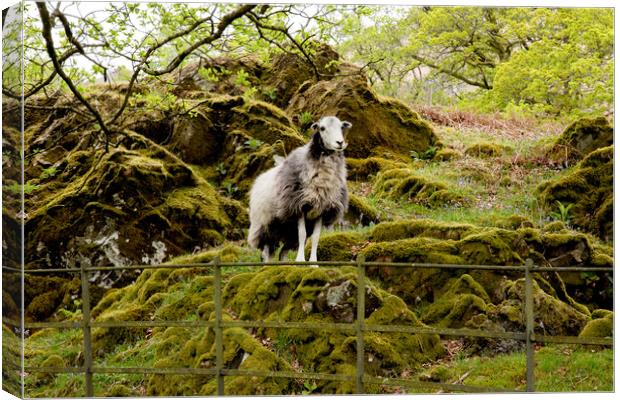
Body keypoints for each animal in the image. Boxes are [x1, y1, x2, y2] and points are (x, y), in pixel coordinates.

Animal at [248, 115, 354, 264]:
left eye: (341, 127)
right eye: (322, 128)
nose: (340, 142)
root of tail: (258, 180)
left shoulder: (321, 210)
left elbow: (315, 237)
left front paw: (313, 263)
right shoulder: (298, 206)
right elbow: (302, 234)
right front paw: (300, 260)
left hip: (287, 230)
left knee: (282, 252)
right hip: (265, 224)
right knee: (267, 250)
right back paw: (267, 265)